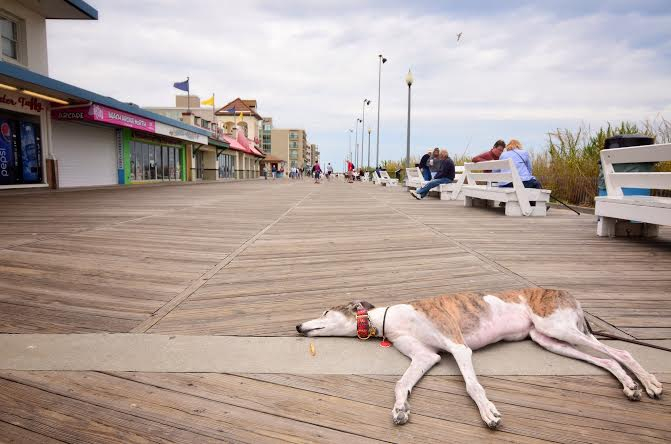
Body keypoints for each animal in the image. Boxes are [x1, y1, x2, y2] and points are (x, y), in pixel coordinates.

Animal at [296, 288, 664, 426]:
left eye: (325, 311)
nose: (298, 326)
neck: (391, 318)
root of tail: (569, 294)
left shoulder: (459, 347)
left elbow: (473, 386)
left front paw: (488, 412)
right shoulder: (424, 357)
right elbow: (401, 384)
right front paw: (401, 408)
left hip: (559, 328)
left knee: (621, 350)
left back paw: (649, 383)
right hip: (549, 339)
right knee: (608, 359)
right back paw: (630, 386)